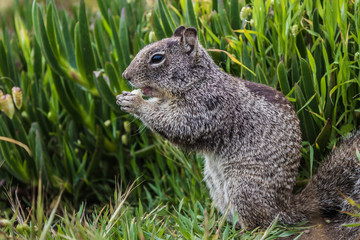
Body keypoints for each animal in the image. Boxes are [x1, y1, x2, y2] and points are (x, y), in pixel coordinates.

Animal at [116, 26, 360, 238]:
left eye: (157, 58)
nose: (125, 75)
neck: (198, 81)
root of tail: (284, 207)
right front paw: (126, 97)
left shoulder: (206, 108)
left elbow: (177, 125)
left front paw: (135, 102)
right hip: (215, 185)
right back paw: (220, 225)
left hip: (243, 186)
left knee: (261, 223)